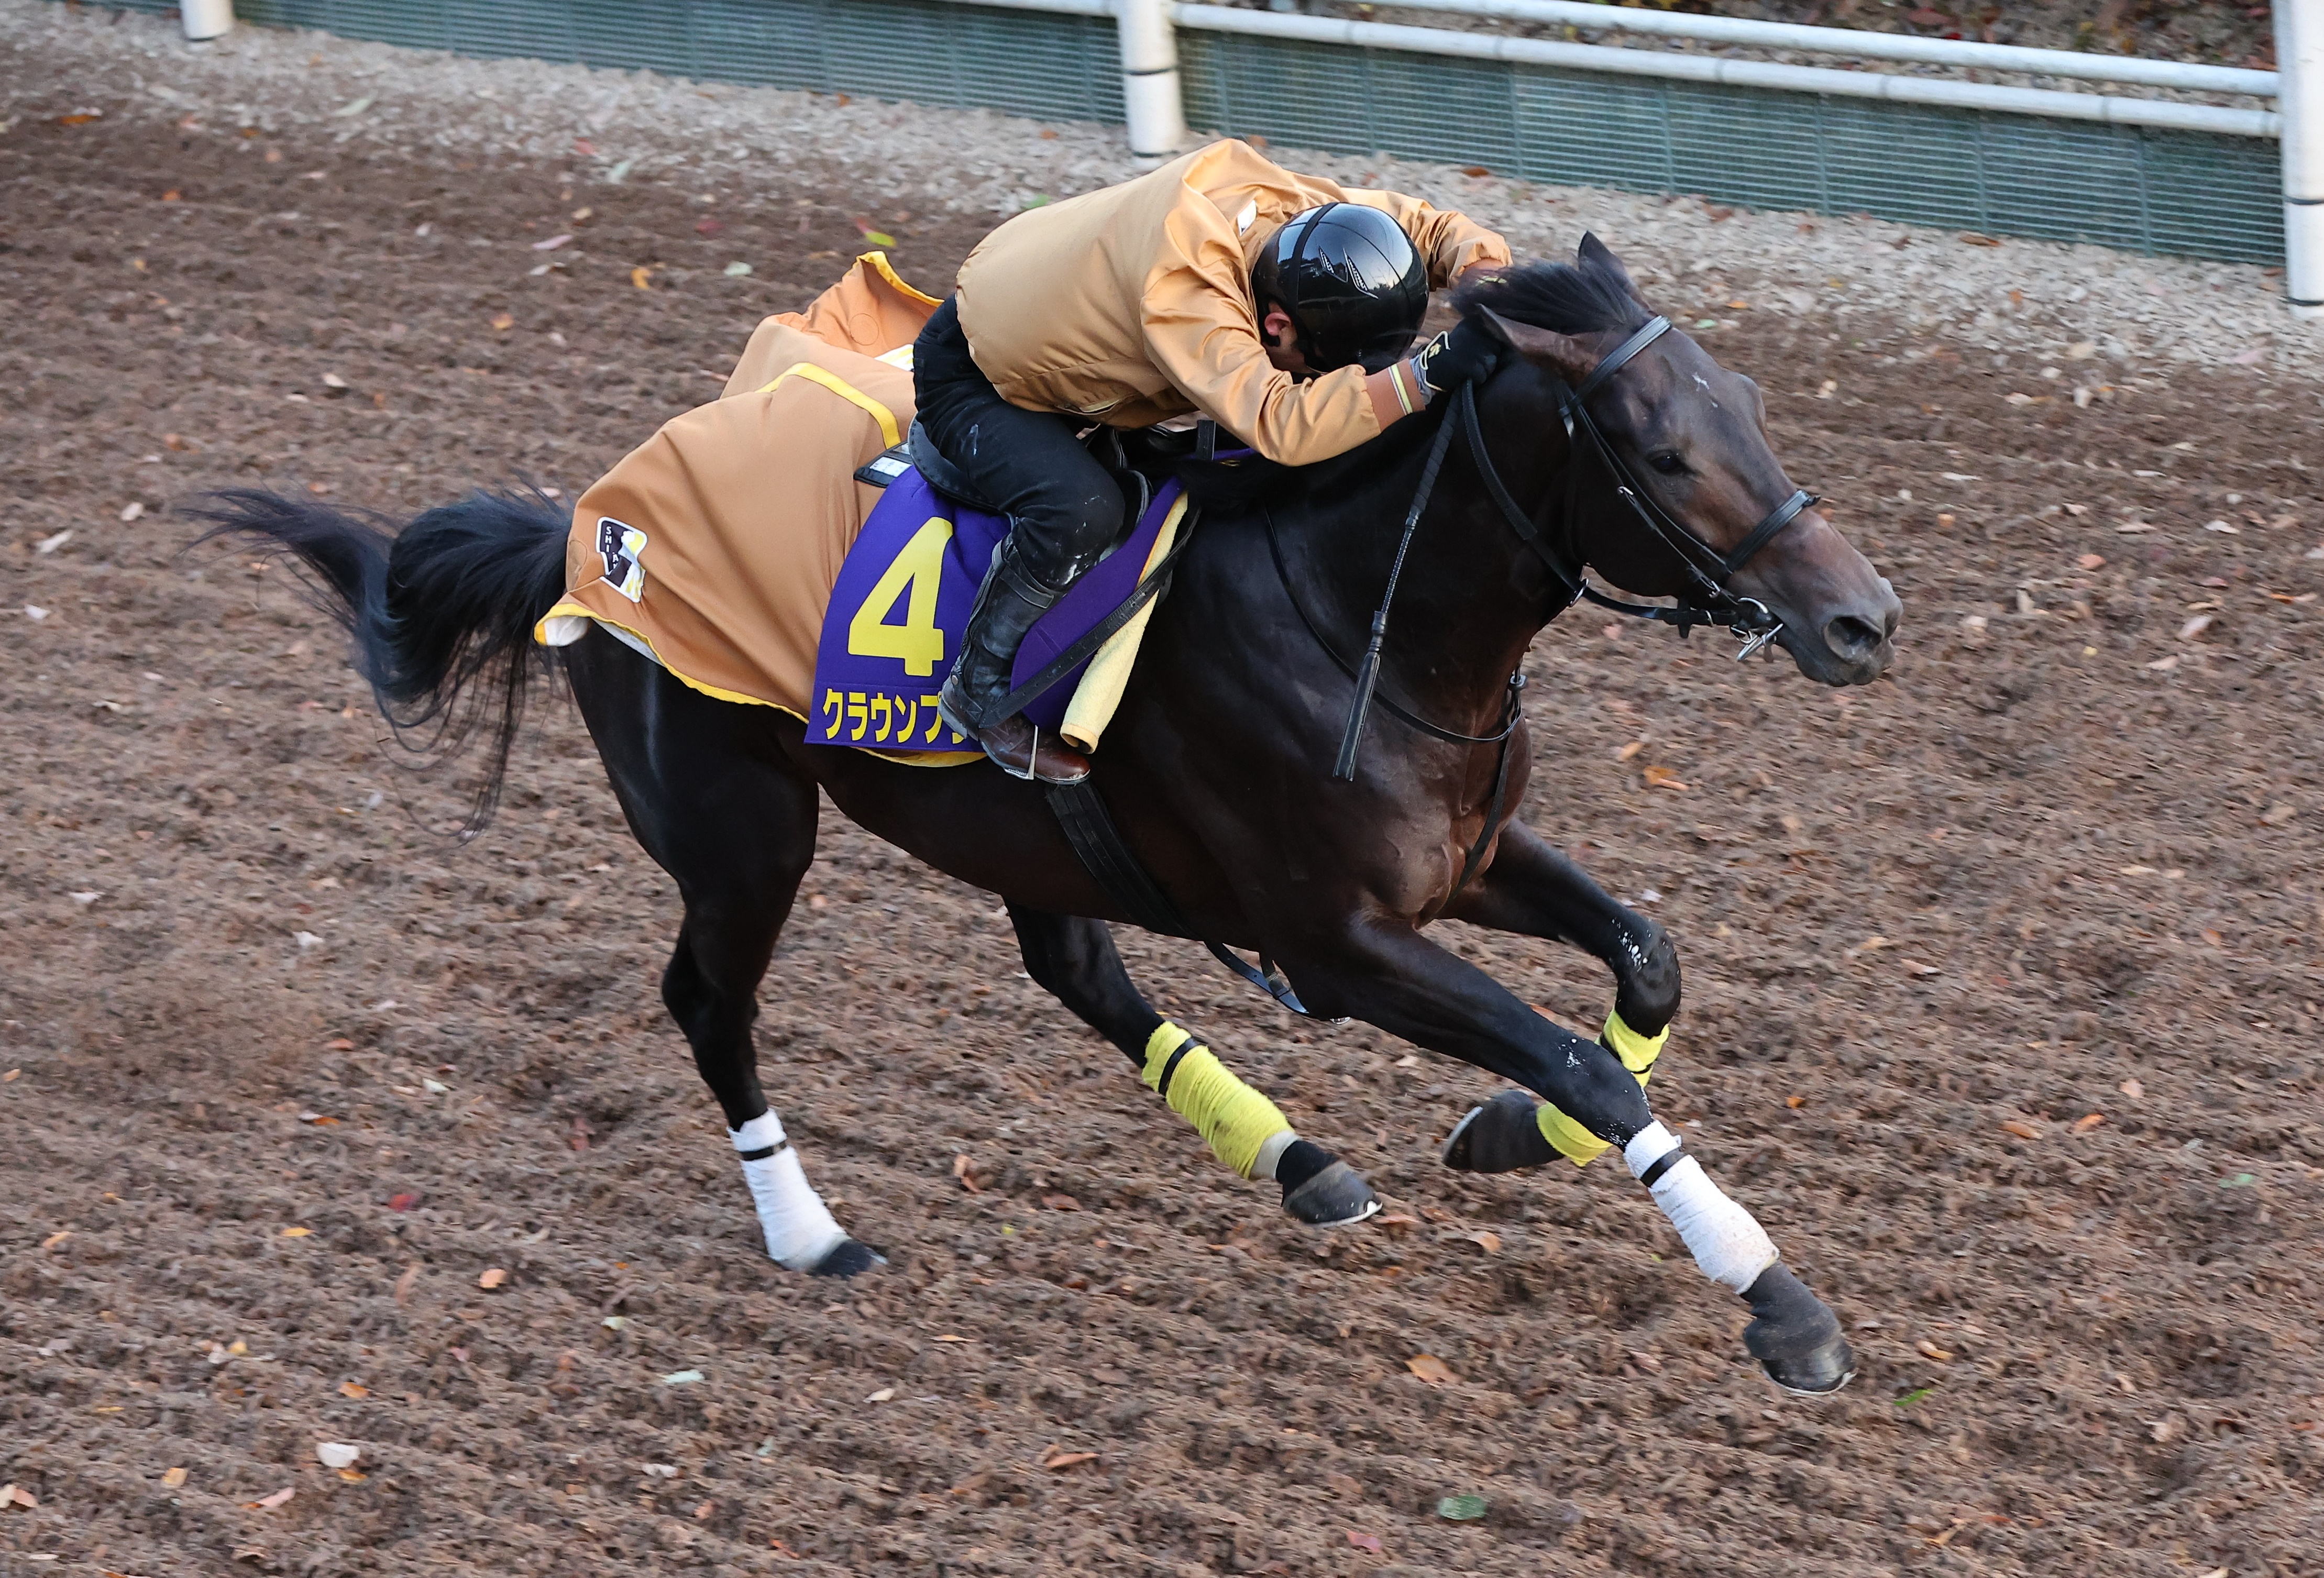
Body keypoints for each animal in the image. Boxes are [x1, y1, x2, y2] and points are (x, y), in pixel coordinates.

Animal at [195, 238, 1906, 1394]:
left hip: (1013, 828)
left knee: (1073, 967)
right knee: (707, 1000)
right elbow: (1574, 1054)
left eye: (1752, 403)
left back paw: (1297, 1160)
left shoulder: (1462, 860)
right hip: (744, 832)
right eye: (1661, 449)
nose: (1864, 621)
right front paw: (1778, 1300)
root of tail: (586, 527)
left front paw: (1498, 1134)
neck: (1361, 612)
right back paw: (809, 1232)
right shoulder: (1334, 938)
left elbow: (1645, 964)